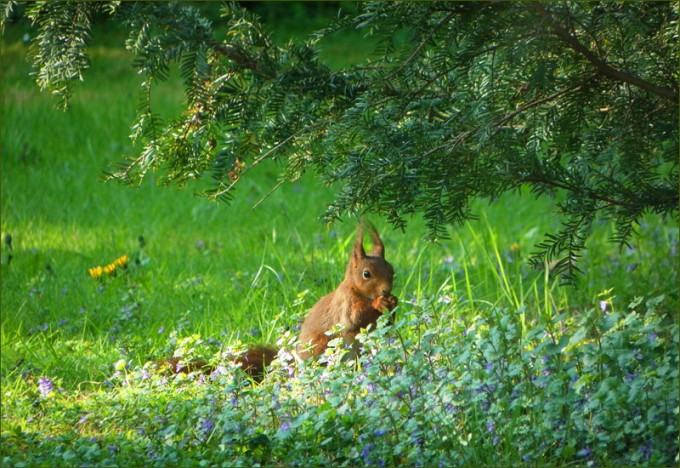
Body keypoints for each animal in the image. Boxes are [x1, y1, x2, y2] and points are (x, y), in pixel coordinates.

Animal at [157, 222, 398, 380]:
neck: (357, 289)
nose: (386, 290)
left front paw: (393, 303)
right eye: (366, 274)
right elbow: (354, 318)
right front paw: (379, 303)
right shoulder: (345, 303)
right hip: (325, 347)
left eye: (391, 270)